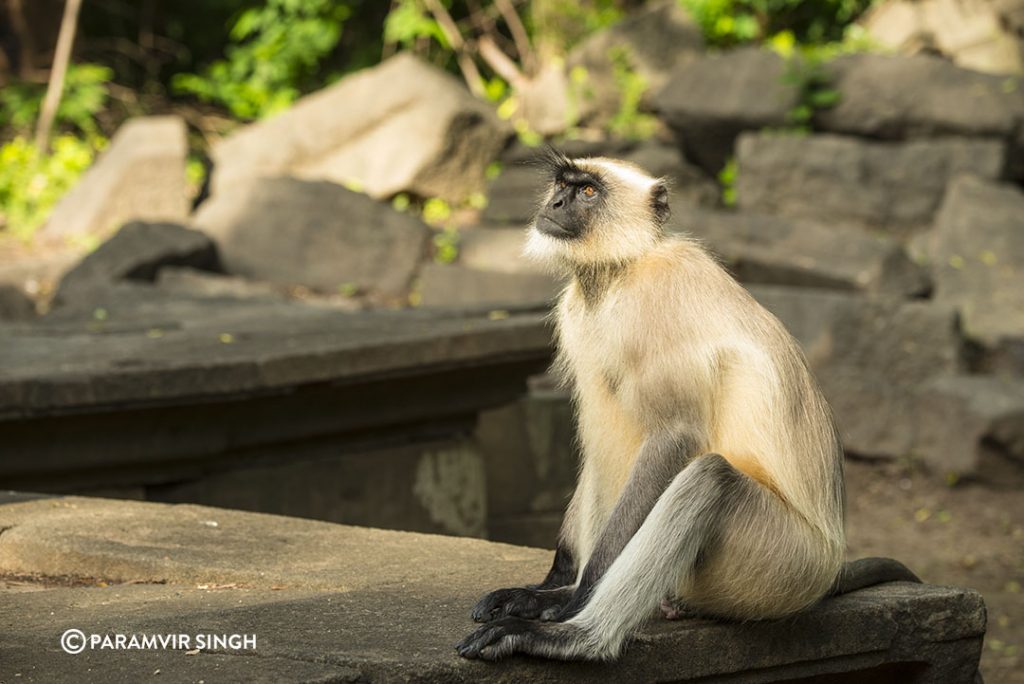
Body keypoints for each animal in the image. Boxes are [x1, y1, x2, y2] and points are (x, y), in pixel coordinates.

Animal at [456, 149, 921, 663]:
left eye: (588, 192)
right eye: (562, 185)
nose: (555, 203)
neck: (620, 271)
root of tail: (830, 566)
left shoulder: (661, 297)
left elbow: (675, 436)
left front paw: (571, 602)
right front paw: (553, 587)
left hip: (786, 563)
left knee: (711, 478)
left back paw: (576, 638)